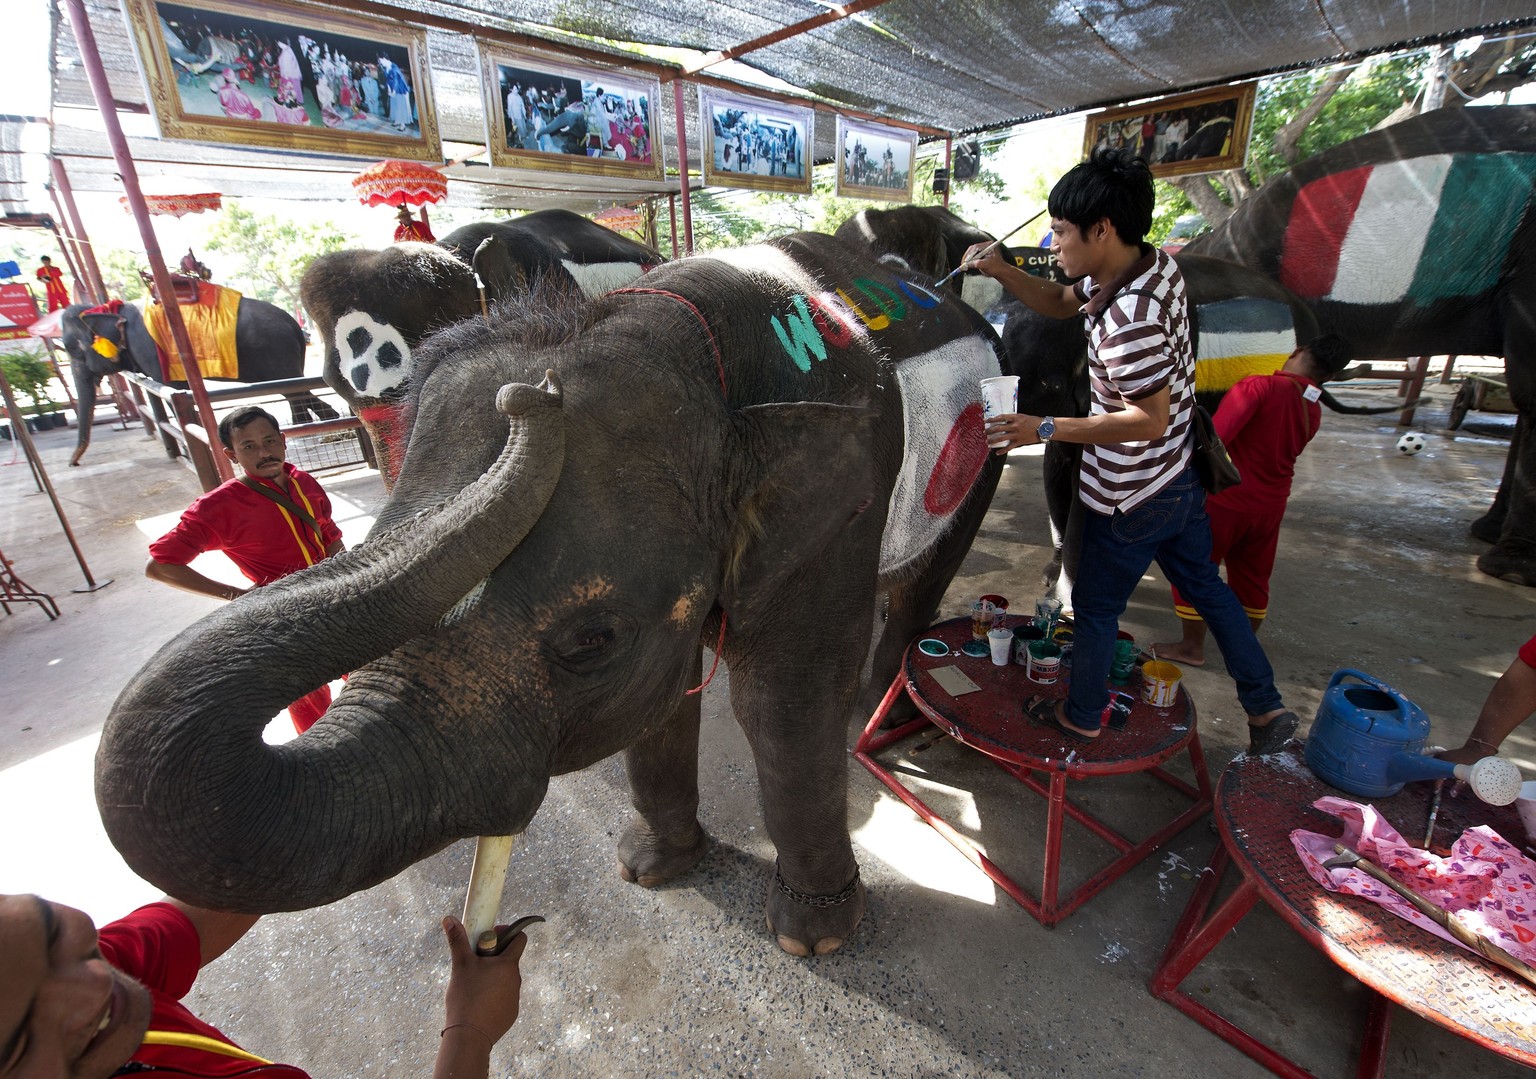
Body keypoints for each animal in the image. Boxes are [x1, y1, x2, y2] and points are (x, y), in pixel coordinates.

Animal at [62, 295, 336, 464]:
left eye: (73, 348)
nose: (73, 464)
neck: (108, 309)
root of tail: (293, 323)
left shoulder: (153, 352)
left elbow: (171, 389)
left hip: (274, 349)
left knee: (292, 389)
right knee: (294, 390)